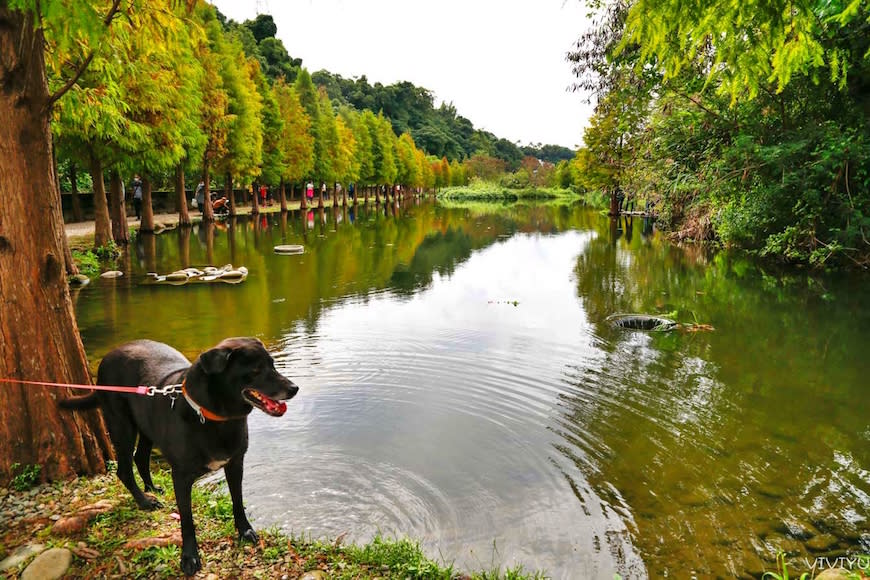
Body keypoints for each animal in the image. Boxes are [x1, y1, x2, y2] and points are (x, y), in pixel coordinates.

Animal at [61, 338, 300, 572]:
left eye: (272, 364)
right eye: (256, 370)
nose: (294, 388)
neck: (214, 416)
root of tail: (109, 356)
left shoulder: (235, 464)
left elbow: (238, 501)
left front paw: (245, 531)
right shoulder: (181, 477)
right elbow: (186, 520)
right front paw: (189, 557)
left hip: (147, 427)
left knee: (141, 457)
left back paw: (151, 488)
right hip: (123, 428)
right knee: (124, 470)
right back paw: (145, 501)